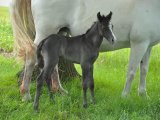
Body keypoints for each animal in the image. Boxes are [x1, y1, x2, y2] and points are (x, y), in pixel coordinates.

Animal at [10, 0, 160, 101]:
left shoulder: (147, 45)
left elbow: (144, 70)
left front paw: (143, 95)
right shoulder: (139, 44)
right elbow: (132, 71)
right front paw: (125, 96)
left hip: (58, 34)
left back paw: (60, 91)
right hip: (45, 33)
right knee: (31, 58)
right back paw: (26, 94)